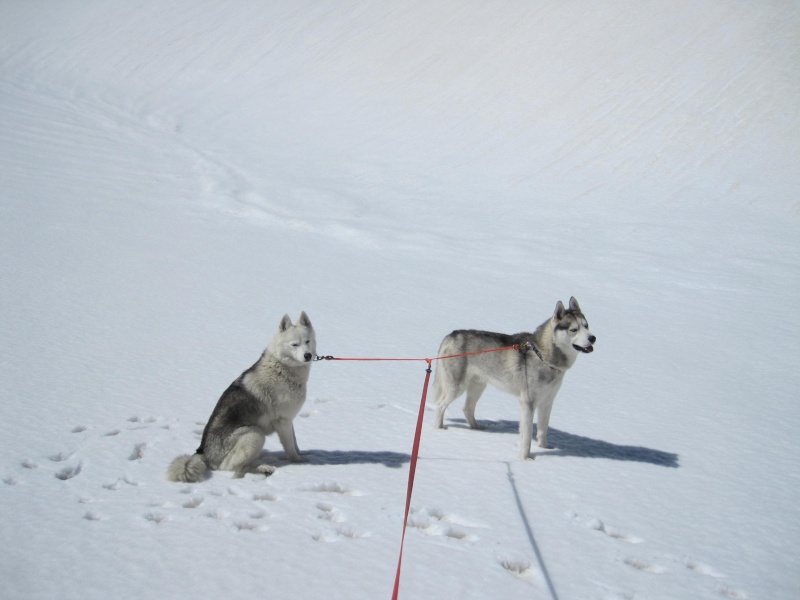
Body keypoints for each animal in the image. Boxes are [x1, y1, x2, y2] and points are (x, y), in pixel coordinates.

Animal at [167, 312, 318, 480]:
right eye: (294, 344)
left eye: (307, 341)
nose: (307, 355)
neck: (282, 368)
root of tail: (202, 453)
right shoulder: (283, 421)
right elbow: (290, 447)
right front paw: (299, 463)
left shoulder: (288, 420)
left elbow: (295, 443)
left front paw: (302, 455)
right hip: (254, 434)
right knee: (233, 468)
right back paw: (263, 469)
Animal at [432, 298, 592, 460]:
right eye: (574, 329)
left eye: (586, 326)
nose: (593, 338)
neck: (543, 356)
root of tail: (451, 335)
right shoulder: (528, 403)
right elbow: (526, 437)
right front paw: (526, 459)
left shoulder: (547, 402)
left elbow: (542, 431)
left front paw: (545, 448)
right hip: (456, 388)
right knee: (440, 405)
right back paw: (439, 430)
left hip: (478, 386)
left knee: (467, 409)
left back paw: (478, 429)